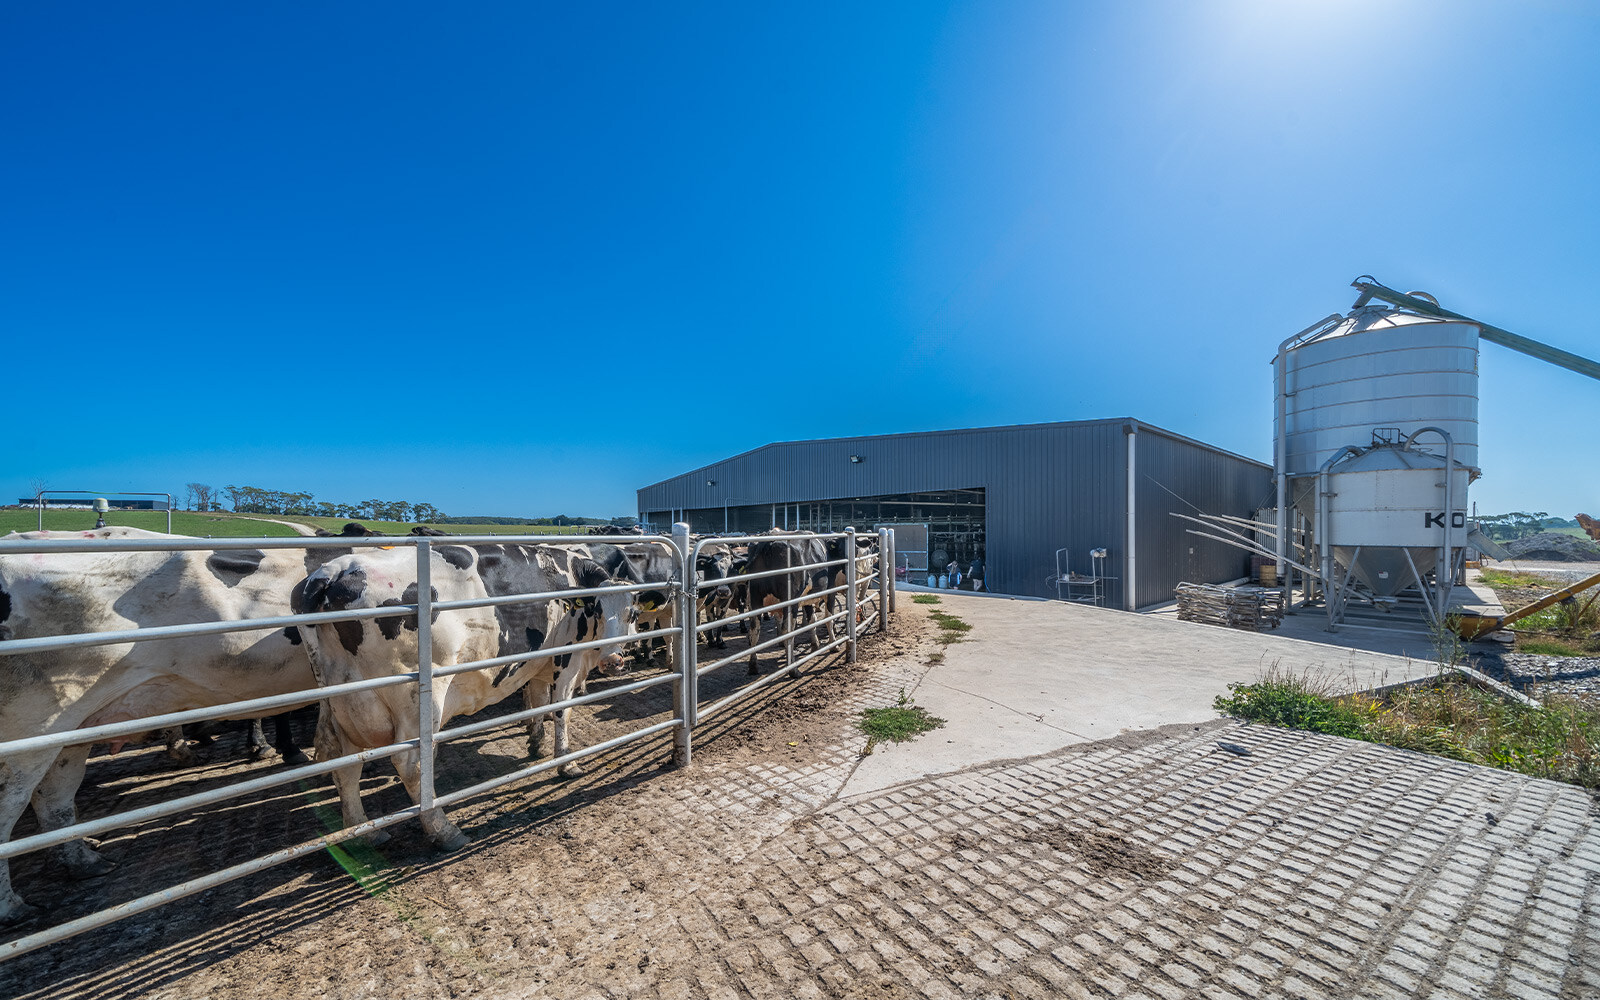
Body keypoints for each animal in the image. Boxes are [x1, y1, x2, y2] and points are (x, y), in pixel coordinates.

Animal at [302, 540, 640, 844]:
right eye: (597, 608)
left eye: (632, 613)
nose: (613, 661)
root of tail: (335, 571)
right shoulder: (567, 659)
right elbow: (560, 711)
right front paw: (566, 763)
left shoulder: (538, 663)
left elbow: (537, 702)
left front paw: (536, 742)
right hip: (416, 703)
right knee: (411, 765)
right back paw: (443, 829)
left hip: (345, 703)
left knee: (344, 761)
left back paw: (363, 831)